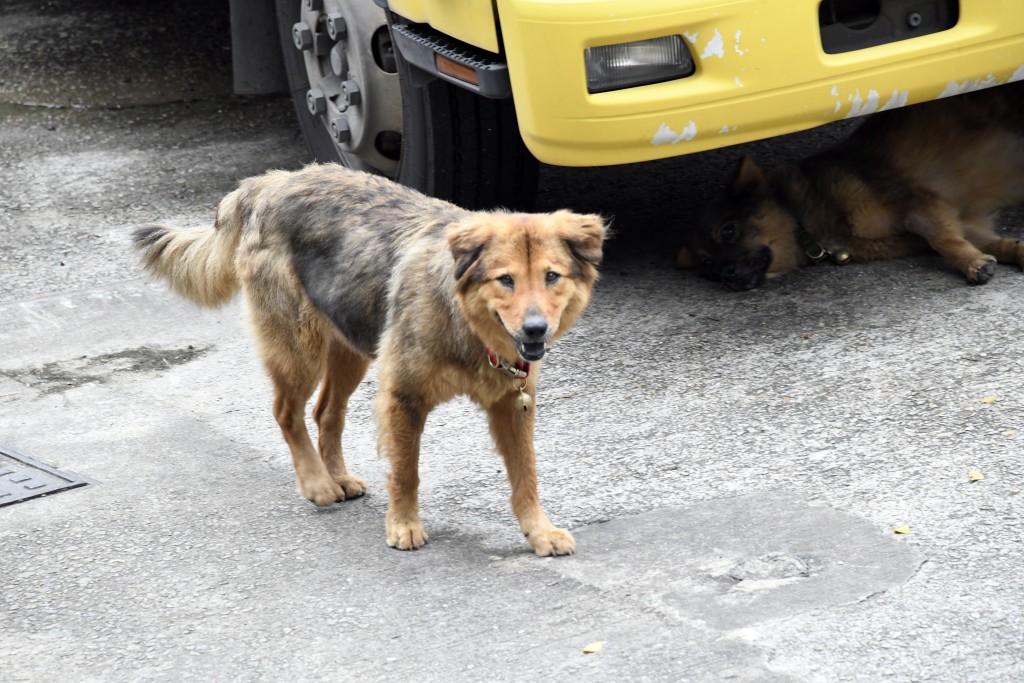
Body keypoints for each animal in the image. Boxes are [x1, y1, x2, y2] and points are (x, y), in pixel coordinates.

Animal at [132, 163, 602, 557]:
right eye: (505, 280)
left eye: (551, 276)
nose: (536, 329)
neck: (466, 323)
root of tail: (271, 182)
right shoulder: (403, 397)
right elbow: (406, 471)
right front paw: (404, 525)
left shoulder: (513, 405)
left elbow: (526, 475)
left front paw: (538, 531)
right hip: (300, 352)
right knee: (287, 411)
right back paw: (317, 482)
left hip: (352, 352)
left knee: (325, 412)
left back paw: (336, 476)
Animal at [679, 83, 1024, 290]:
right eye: (707, 264)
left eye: (729, 231)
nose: (725, 276)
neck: (805, 222)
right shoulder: (960, 219)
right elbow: (980, 239)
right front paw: (1008, 252)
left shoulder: (916, 203)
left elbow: (942, 240)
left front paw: (971, 263)